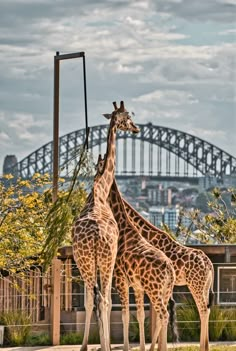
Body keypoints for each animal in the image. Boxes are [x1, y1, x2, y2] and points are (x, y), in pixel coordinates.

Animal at [71, 101, 139, 351]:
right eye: (127, 116)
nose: (137, 128)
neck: (99, 190)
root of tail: (94, 237)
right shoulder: (112, 258)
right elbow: (108, 301)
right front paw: (105, 344)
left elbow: (93, 300)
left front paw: (99, 343)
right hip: (105, 260)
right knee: (104, 299)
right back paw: (103, 344)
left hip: (85, 261)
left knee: (92, 298)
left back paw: (84, 346)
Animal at [96, 155, 177, 351]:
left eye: (98, 166)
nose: (95, 179)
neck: (125, 228)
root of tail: (169, 270)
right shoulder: (137, 286)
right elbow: (140, 315)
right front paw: (140, 347)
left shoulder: (121, 281)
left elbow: (125, 315)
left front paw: (126, 347)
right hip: (164, 290)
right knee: (162, 315)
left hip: (154, 290)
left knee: (164, 315)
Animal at [108, 180, 215, 350]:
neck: (147, 235)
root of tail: (209, 265)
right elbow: (159, 317)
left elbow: (159, 316)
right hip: (204, 286)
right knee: (207, 310)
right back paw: (206, 346)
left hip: (195, 285)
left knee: (203, 310)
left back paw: (201, 347)